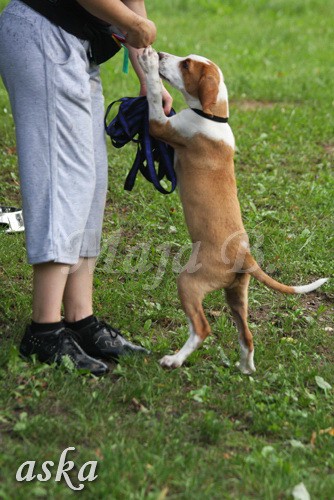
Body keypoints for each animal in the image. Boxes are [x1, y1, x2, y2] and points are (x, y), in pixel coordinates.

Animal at [137, 47, 328, 376]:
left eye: (186, 65)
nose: (160, 53)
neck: (213, 116)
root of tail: (246, 255)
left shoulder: (161, 125)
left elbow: (153, 96)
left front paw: (148, 65)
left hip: (189, 283)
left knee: (202, 329)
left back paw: (175, 359)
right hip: (237, 294)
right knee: (246, 335)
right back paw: (246, 367)